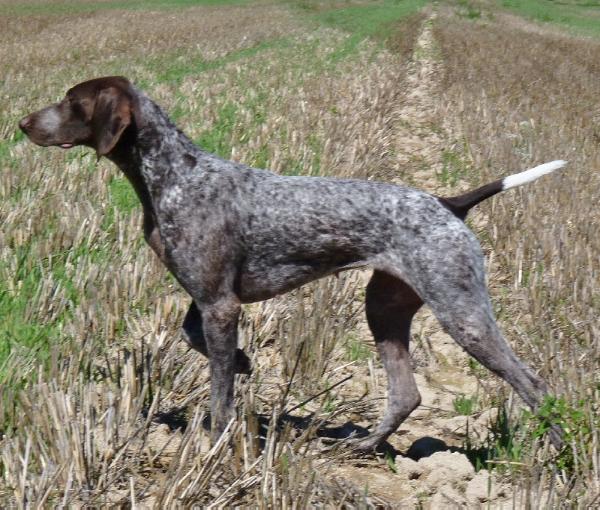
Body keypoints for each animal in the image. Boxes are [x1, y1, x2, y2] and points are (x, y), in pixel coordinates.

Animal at [16, 75, 564, 450]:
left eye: (72, 101)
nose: (22, 123)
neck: (172, 174)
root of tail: (447, 203)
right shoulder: (208, 298)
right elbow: (192, 338)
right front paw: (243, 361)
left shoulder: (219, 303)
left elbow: (219, 393)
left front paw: (216, 443)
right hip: (385, 307)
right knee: (406, 393)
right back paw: (363, 447)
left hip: (461, 311)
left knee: (534, 385)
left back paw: (560, 456)